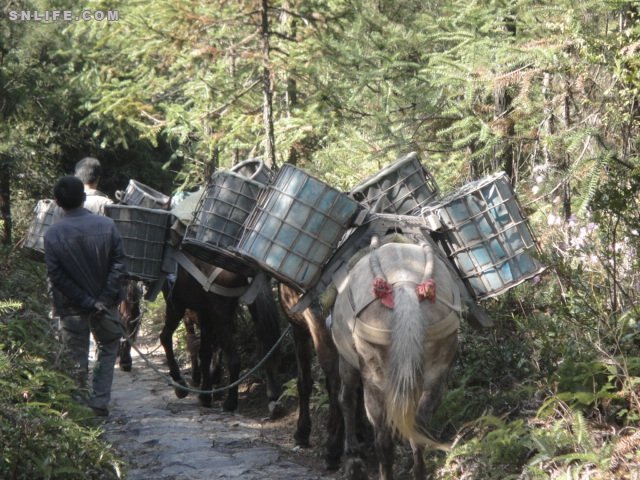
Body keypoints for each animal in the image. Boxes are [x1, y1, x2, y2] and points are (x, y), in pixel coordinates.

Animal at [159, 255, 282, 412]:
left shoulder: (177, 306)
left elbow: (169, 338)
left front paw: (181, 383)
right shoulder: (205, 316)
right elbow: (205, 352)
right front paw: (206, 392)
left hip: (220, 316)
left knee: (234, 359)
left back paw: (230, 402)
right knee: (266, 348)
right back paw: (273, 397)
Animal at [332, 236, 462, 480]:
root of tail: (404, 288)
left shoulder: (346, 362)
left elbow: (346, 399)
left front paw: (351, 450)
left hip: (373, 380)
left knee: (383, 439)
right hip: (437, 372)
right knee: (418, 426)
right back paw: (419, 471)